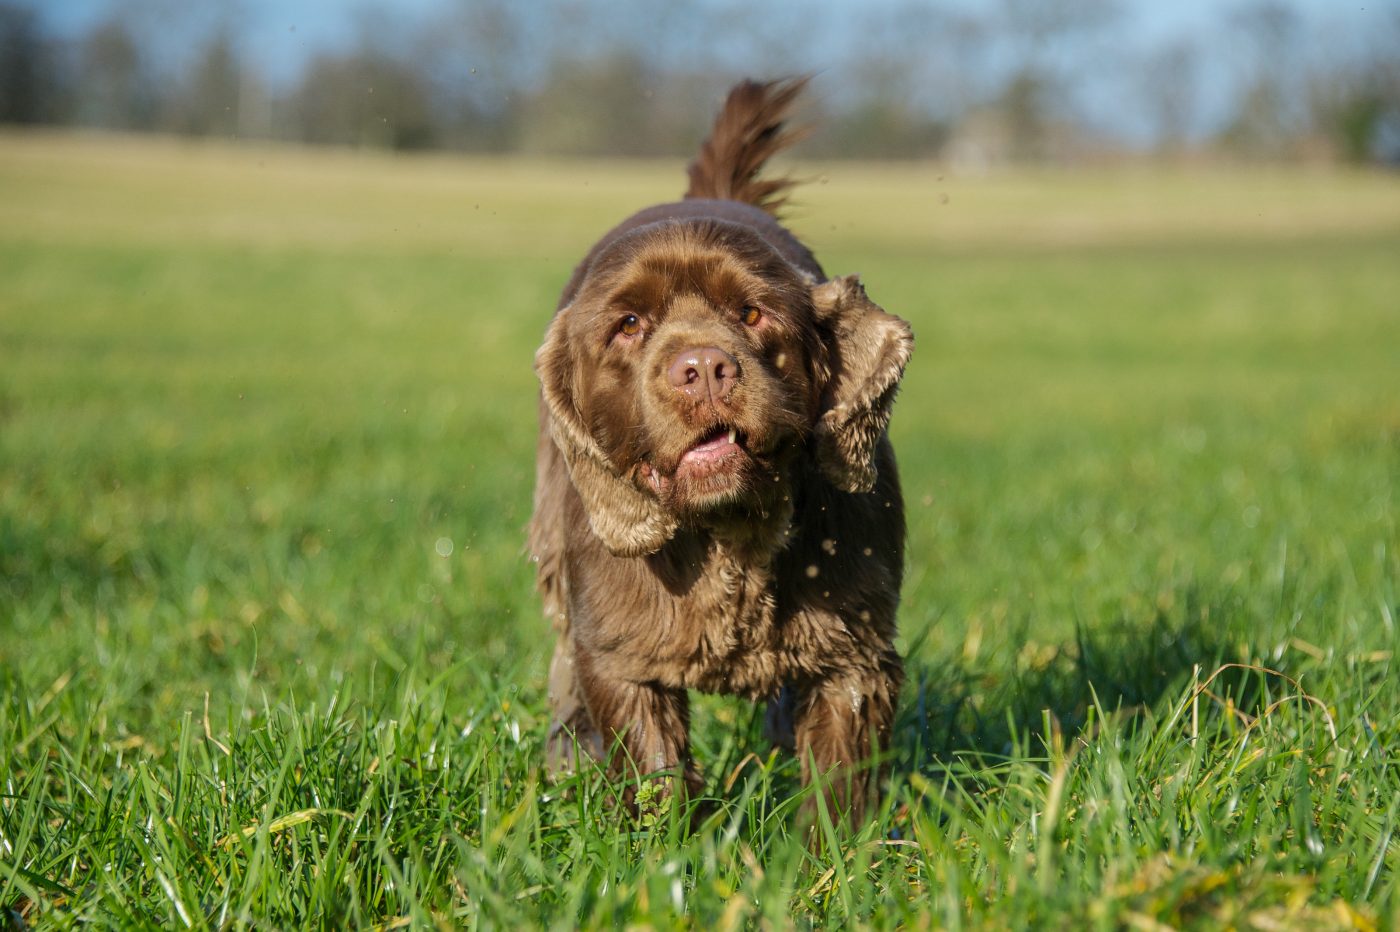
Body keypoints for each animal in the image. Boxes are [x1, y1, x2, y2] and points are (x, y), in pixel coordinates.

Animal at [529, 79, 912, 822]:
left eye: (753, 313)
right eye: (629, 324)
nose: (704, 367)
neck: (730, 537)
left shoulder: (855, 654)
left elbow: (838, 785)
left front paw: (835, 853)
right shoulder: (621, 655)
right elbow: (653, 773)